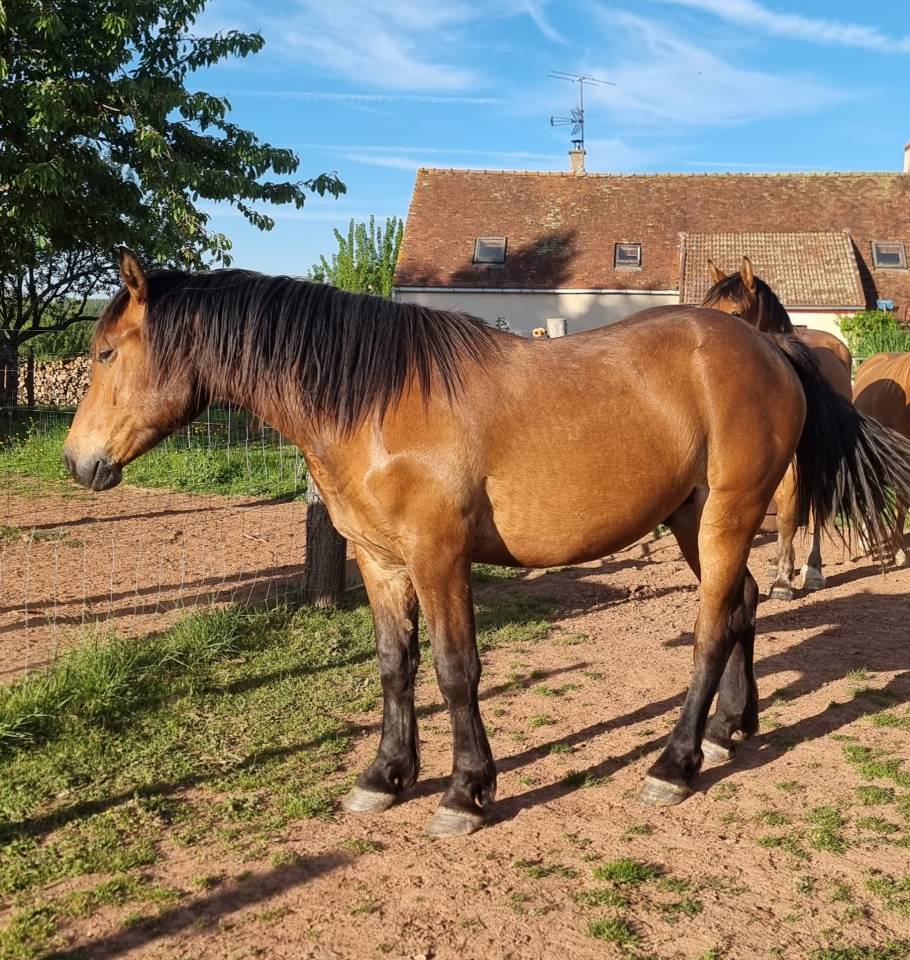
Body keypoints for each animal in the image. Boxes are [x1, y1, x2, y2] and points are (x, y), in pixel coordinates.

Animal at [703, 257, 854, 600]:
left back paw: (812, 569)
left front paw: (784, 582)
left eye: (736, 314)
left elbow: (787, 517)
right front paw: (779, 568)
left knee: (814, 513)